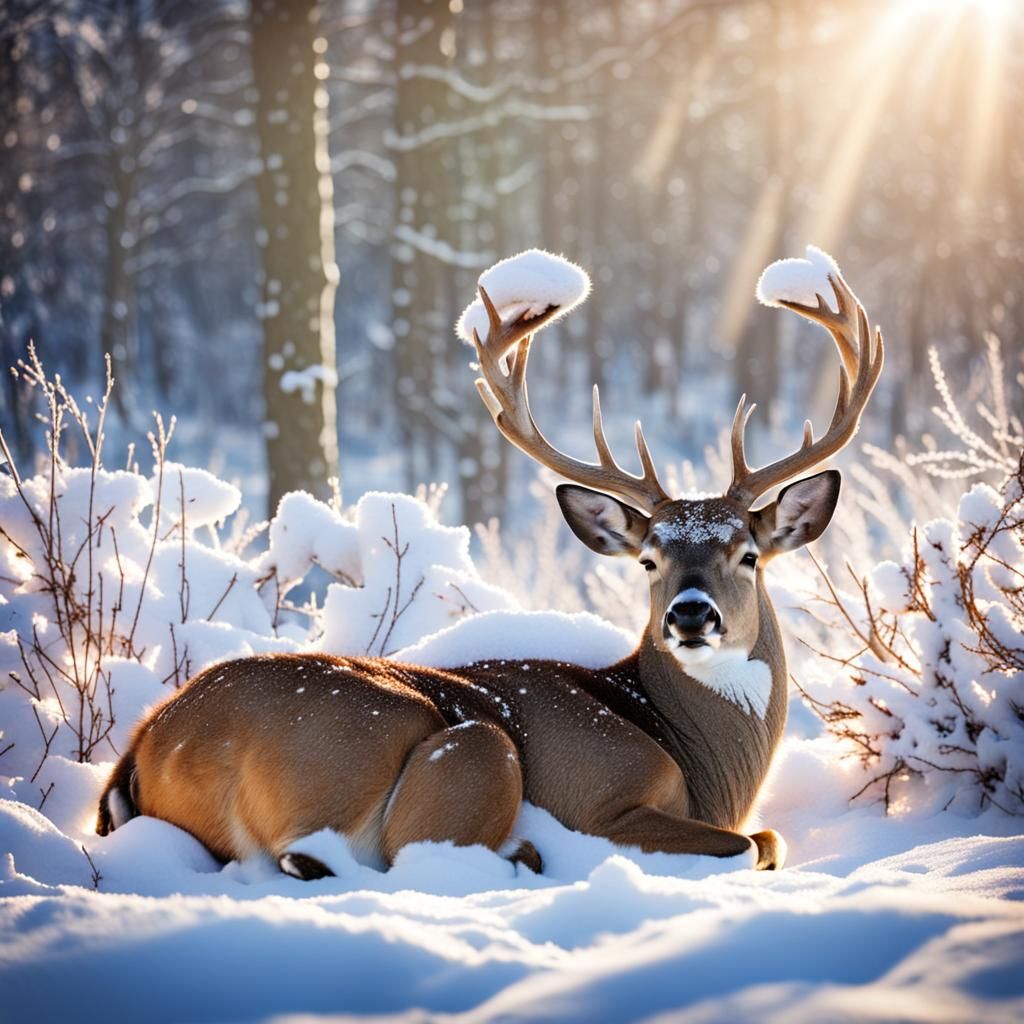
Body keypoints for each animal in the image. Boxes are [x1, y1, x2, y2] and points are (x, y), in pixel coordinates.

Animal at [97, 264, 883, 879]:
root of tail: (152, 740)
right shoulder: (601, 795)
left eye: (747, 555)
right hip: (449, 745)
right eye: (649, 559)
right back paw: (521, 856)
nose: (690, 613)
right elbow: (759, 843)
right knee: (349, 856)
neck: (695, 761)